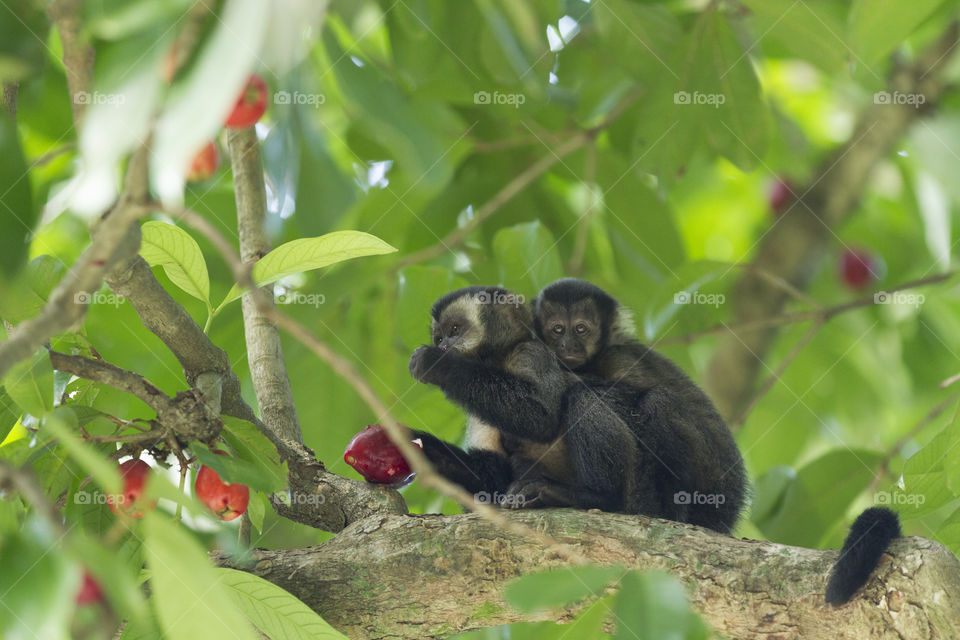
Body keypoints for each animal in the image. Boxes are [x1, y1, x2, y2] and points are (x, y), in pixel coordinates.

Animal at [407, 285, 650, 512]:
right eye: (439, 338)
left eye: (455, 329)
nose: (443, 345)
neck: (499, 362)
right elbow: (492, 477)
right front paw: (417, 445)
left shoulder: (531, 353)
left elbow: (541, 417)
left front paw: (439, 363)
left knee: (582, 397)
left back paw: (598, 497)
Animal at [532, 278, 747, 533]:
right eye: (557, 329)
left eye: (580, 329)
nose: (567, 345)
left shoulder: (618, 358)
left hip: (713, 481)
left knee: (657, 402)